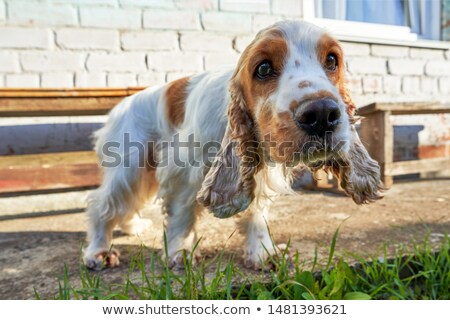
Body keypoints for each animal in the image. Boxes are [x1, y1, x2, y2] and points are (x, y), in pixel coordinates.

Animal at [82, 20, 382, 270]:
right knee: (102, 205)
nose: (321, 114)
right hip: (130, 167)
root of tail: (119, 106)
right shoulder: (184, 171)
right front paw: (180, 253)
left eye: (332, 60)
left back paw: (133, 227)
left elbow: (257, 214)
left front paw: (262, 253)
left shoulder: (258, 174)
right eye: (263, 68)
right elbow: (181, 214)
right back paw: (98, 252)